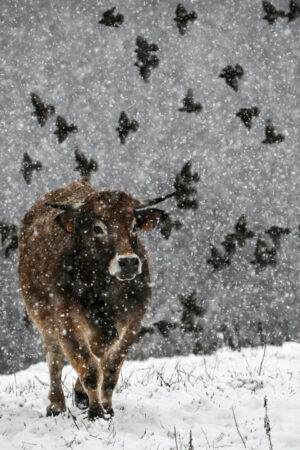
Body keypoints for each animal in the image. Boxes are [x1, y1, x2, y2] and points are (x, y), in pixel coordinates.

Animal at [18, 177, 173, 422]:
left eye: (134, 226)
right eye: (98, 228)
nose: (128, 262)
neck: (104, 288)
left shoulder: (133, 320)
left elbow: (110, 366)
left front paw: (103, 406)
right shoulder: (66, 320)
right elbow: (88, 365)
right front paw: (95, 411)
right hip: (44, 320)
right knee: (54, 358)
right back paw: (56, 405)